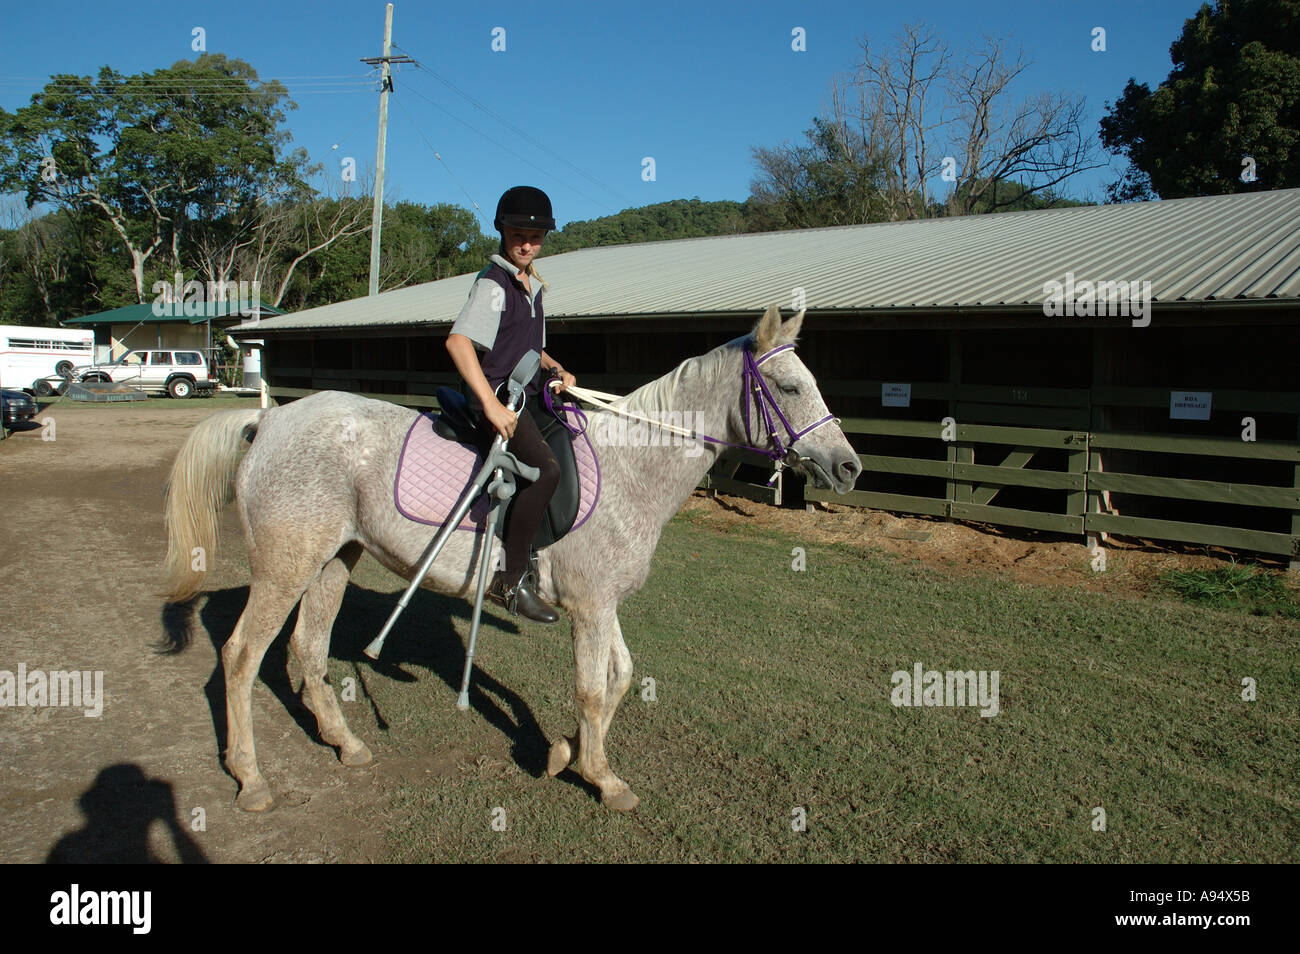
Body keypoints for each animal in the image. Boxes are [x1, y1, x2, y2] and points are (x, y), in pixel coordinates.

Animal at [162, 304, 862, 812]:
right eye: (790, 386)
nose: (850, 467)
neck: (634, 467)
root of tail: (268, 424)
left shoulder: (603, 605)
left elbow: (621, 678)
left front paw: (565, 753)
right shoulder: (590, 607)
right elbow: (592, 689)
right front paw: (603, 779)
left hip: (335, 559)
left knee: (307, 649)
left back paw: (347, 744)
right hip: (285, 568)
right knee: (242, 658)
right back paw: (251, 780)